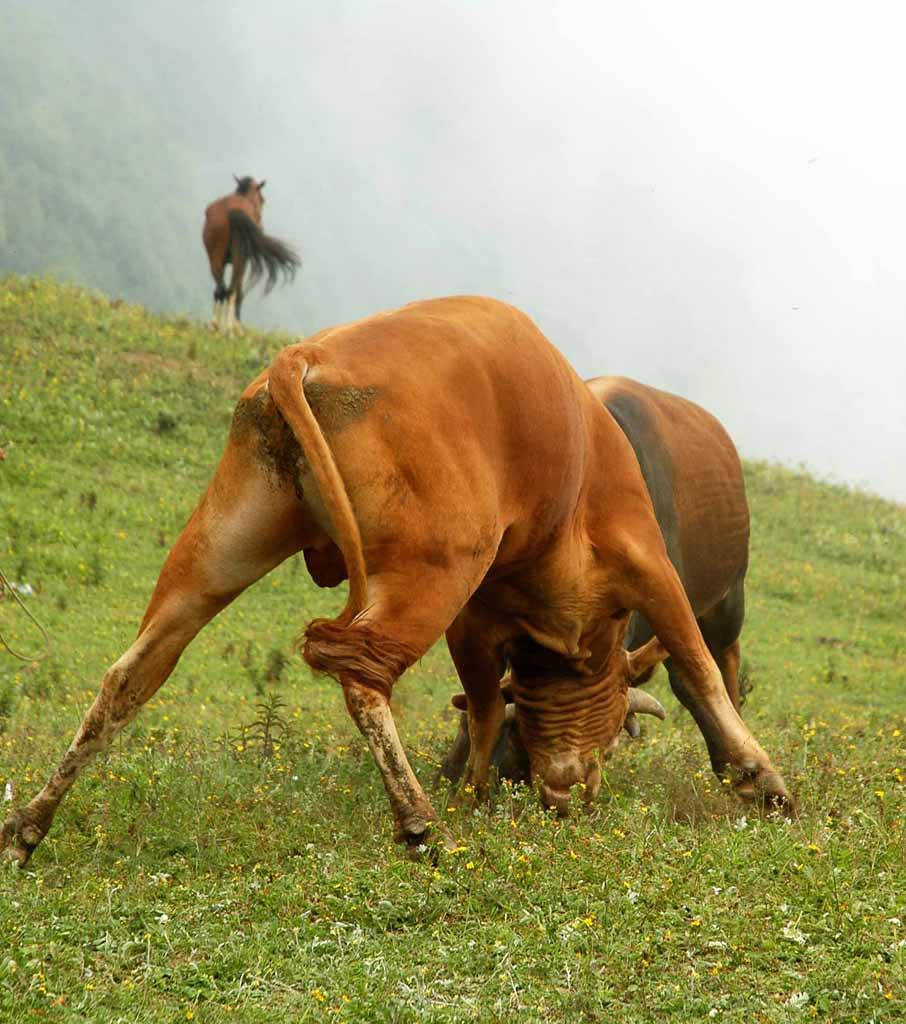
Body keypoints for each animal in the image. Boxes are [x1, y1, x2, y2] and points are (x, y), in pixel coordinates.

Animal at [0, 296, 790, 864]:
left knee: (130, 675)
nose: (568, 793)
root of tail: (308, 356)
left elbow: (481, 705)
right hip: (430, 572)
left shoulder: (477, 619)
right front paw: (760, 777)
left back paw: (31, 823)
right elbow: (699, 668)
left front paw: (475, 787)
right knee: (361, 670)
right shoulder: (645, 561)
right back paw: (417, 822)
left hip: (227, 540)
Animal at [201, 177, 300, 331]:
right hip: (239, 259)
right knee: (232, 291)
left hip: (215, 257)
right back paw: (230, 329)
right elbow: (239, 292)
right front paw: (237, 326)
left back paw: (215, 325)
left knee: (220, 289)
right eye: (262, 200)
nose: (261, 226)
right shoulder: (244, 261)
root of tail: (231, 210)